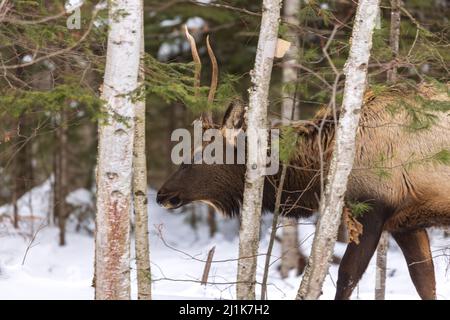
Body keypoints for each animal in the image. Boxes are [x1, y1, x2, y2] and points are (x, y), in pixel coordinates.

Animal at [156, 26, 450, 298]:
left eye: (198, 155)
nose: (162, 194)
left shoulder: (373, 207)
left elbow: (345, 277)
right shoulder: (406, 221)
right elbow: (425, 283)